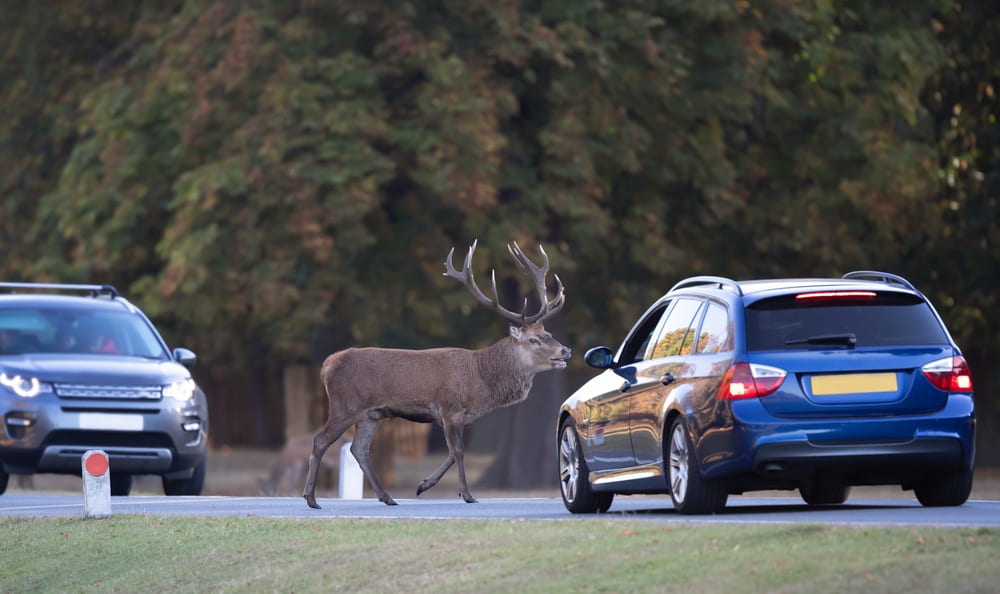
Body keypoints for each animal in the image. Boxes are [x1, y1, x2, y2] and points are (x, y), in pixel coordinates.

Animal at [303, 240, 570, 508]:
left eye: (549, 334)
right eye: (534, 339)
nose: (565, 350)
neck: (481, 379)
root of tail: (327, 365)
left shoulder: (451, 417)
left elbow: (452, 452)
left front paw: (424, 484)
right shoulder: (450, 410)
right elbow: (458, 452)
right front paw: (467, 494)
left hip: (371, 413)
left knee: (359, 449)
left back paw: (387, 497)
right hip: (346, 405)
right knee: (320, 440)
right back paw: (311, 498)